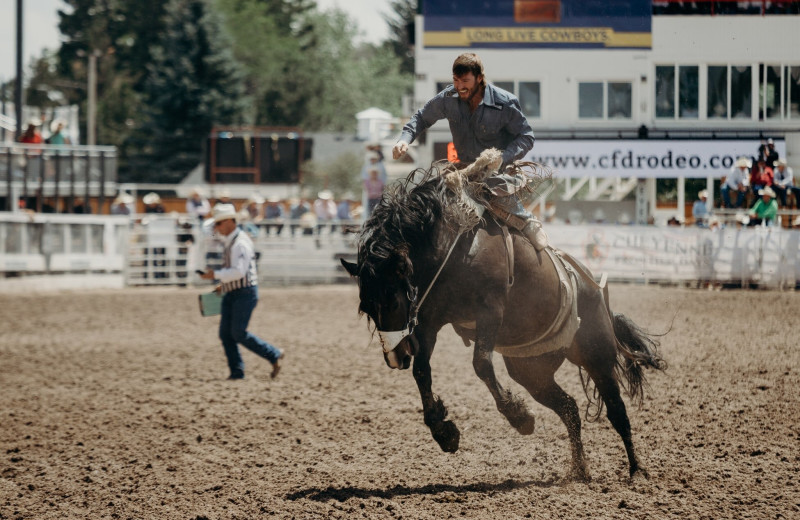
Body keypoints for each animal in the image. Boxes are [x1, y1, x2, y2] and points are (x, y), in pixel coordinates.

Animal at [340, 160, 664, 482]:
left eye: (393, 301)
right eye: (366, 308)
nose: (395, 357)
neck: (454, 247)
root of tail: (595, 288)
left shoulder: (490, 311)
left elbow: (481, 363)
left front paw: (519, 418)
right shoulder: (429, 321)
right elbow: (422, 371)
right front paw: (445, 433)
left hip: (598, 356)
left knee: (616, 411)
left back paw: (637, 471)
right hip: (532, 370)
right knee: (569, 408)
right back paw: (579, 469)